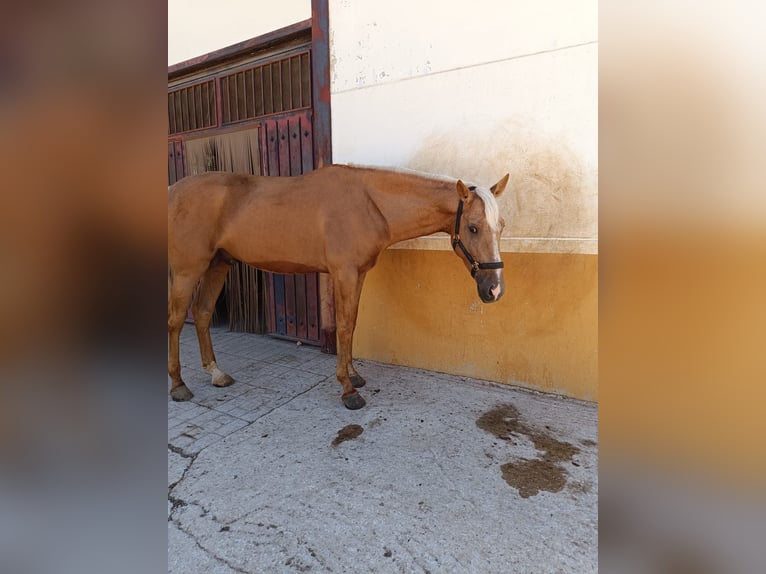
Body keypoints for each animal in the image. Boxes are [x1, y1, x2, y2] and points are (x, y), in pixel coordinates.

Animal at [171, 165, 512, 410]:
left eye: (501, 226)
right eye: (472, 228)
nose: (494, 290)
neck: (369, 203)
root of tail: (173, 190)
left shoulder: (358, 274)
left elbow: (353, 322)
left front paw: (354, 376)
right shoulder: (344, 274)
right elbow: (345, 326)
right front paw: (348, 389)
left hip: (218, 264)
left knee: (202, 313)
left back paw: (216, 374)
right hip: (189, 270)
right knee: (176, 321)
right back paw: (179, 386)